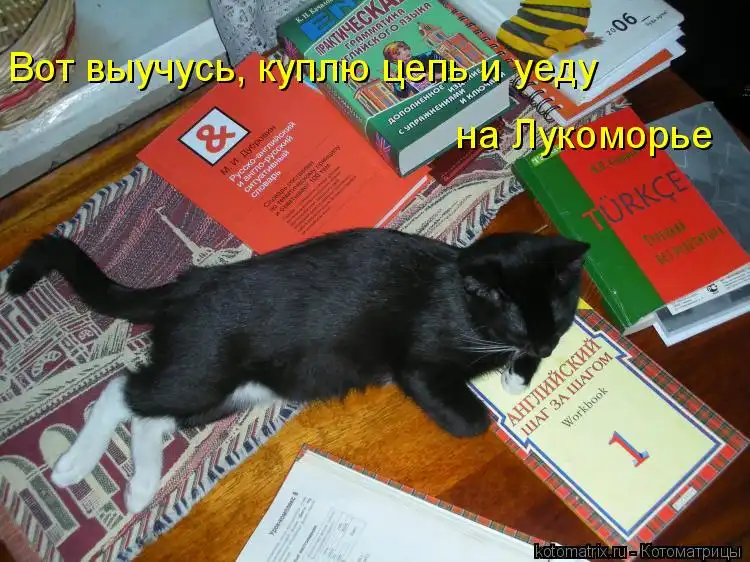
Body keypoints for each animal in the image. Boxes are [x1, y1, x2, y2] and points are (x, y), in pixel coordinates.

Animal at [6, 228, 588, 513]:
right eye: (515, 317)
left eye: (558, 314)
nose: (539, 340)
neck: (459, 296)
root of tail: (187, 284)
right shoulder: (419, 363)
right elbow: (467, 416)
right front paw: (486, 409)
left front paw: (519, 372)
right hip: (204, 367)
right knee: (124, 390)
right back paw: (74, 464)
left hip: (237, 388)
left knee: (153, 415)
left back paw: (141, 488)